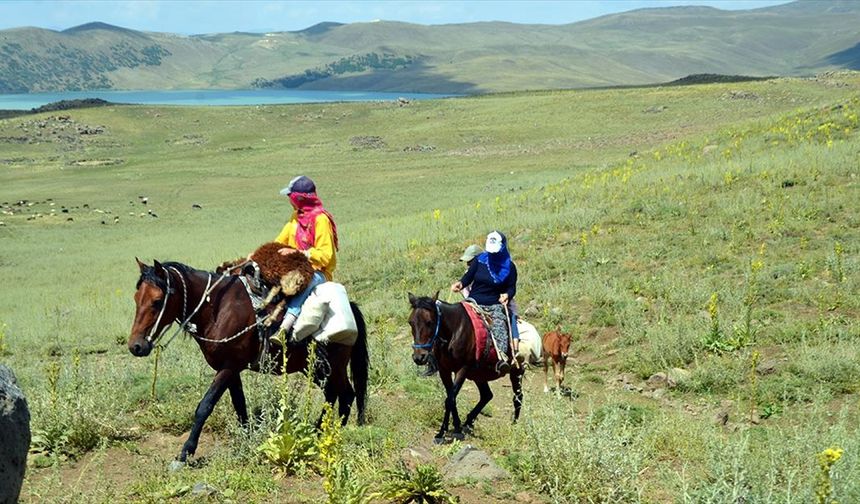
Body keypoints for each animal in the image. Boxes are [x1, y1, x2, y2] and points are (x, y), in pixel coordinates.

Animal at [129, 260, 368, 464]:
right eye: (136, 299)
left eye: (157, 301)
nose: (136, 346)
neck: (218, 310)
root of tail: (351, 308)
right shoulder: (230, 369)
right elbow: (240, 405)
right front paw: (248, 438)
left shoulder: (228, 367)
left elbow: (205, 406)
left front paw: (185, 452)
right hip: (317, 369)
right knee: (335, 394)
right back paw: (318, 431)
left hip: (333, 367)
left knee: (346, 394)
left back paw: (330, 433)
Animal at [408, 294, 524, 442]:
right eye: (410, 322)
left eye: (429, 322)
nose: (419, 357)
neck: (454, 331)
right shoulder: (444, 370)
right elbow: (451, 398)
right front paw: (455, 427)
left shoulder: (462, 369)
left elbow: (450, 399)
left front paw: (443, 433)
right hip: (479, 375)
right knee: (487, 395)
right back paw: (468, 422)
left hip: (516, 371)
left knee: (518, 397)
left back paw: (514, 424)